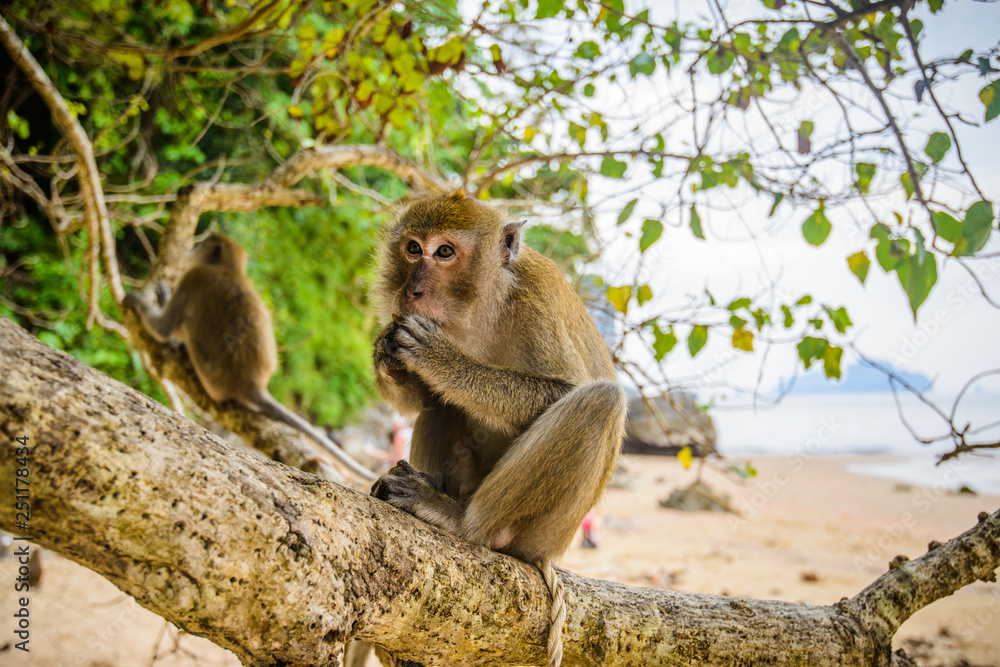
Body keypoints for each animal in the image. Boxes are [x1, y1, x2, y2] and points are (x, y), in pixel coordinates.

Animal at [123, 233, 377, 483]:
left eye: (200, 246)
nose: (190, 249)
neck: (229, 270)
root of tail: (251, 384)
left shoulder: (194, 278)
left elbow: (163, 330)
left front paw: (140, 301)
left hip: (208, 374)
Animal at [370, 190, 627, 666]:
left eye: (444, 252)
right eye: (413, 248)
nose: (412, 290)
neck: (482, 306)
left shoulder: (536, 302)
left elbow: (564, 389)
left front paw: (442, 358)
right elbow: (425, 399)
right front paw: (386, 352)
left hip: (549, 532)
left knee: (600, 401)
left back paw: (461, 522)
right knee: (442, 405)